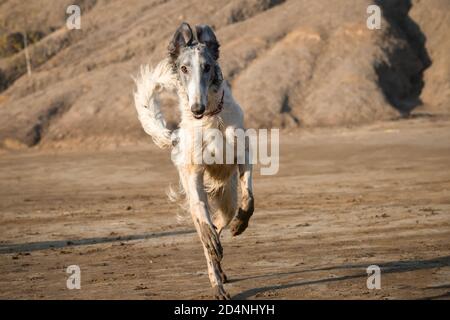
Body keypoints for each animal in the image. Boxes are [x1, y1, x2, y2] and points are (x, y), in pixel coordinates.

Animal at [133, 23, 253, 300]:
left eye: (207, 66)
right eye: (184, 68)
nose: (196, 107)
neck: (211, 119)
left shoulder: (244, 156)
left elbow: (249, 198)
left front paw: (241, 223)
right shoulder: (193, 173)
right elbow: (201, 216)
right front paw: (211, 243)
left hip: (226, 198)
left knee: (222, 221)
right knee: (206, 233)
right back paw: (216, 281)